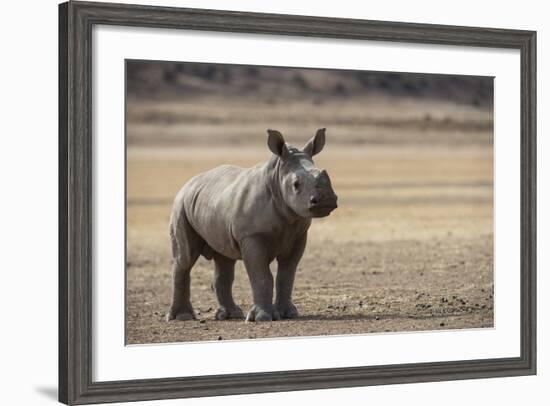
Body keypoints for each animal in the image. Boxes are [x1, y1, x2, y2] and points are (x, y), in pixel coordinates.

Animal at [166, 128, 338, 322]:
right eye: (296, 184)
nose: (326, 200)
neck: (276, 178)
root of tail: (189, 182)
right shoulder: (252, 235)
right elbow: (261, 275)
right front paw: (262, 317)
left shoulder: (298, 234)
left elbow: (287, 274)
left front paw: (288, 314)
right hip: (180, 204)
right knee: (185, 259)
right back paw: (182, 317)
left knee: (224, 260)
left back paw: (231, 314)